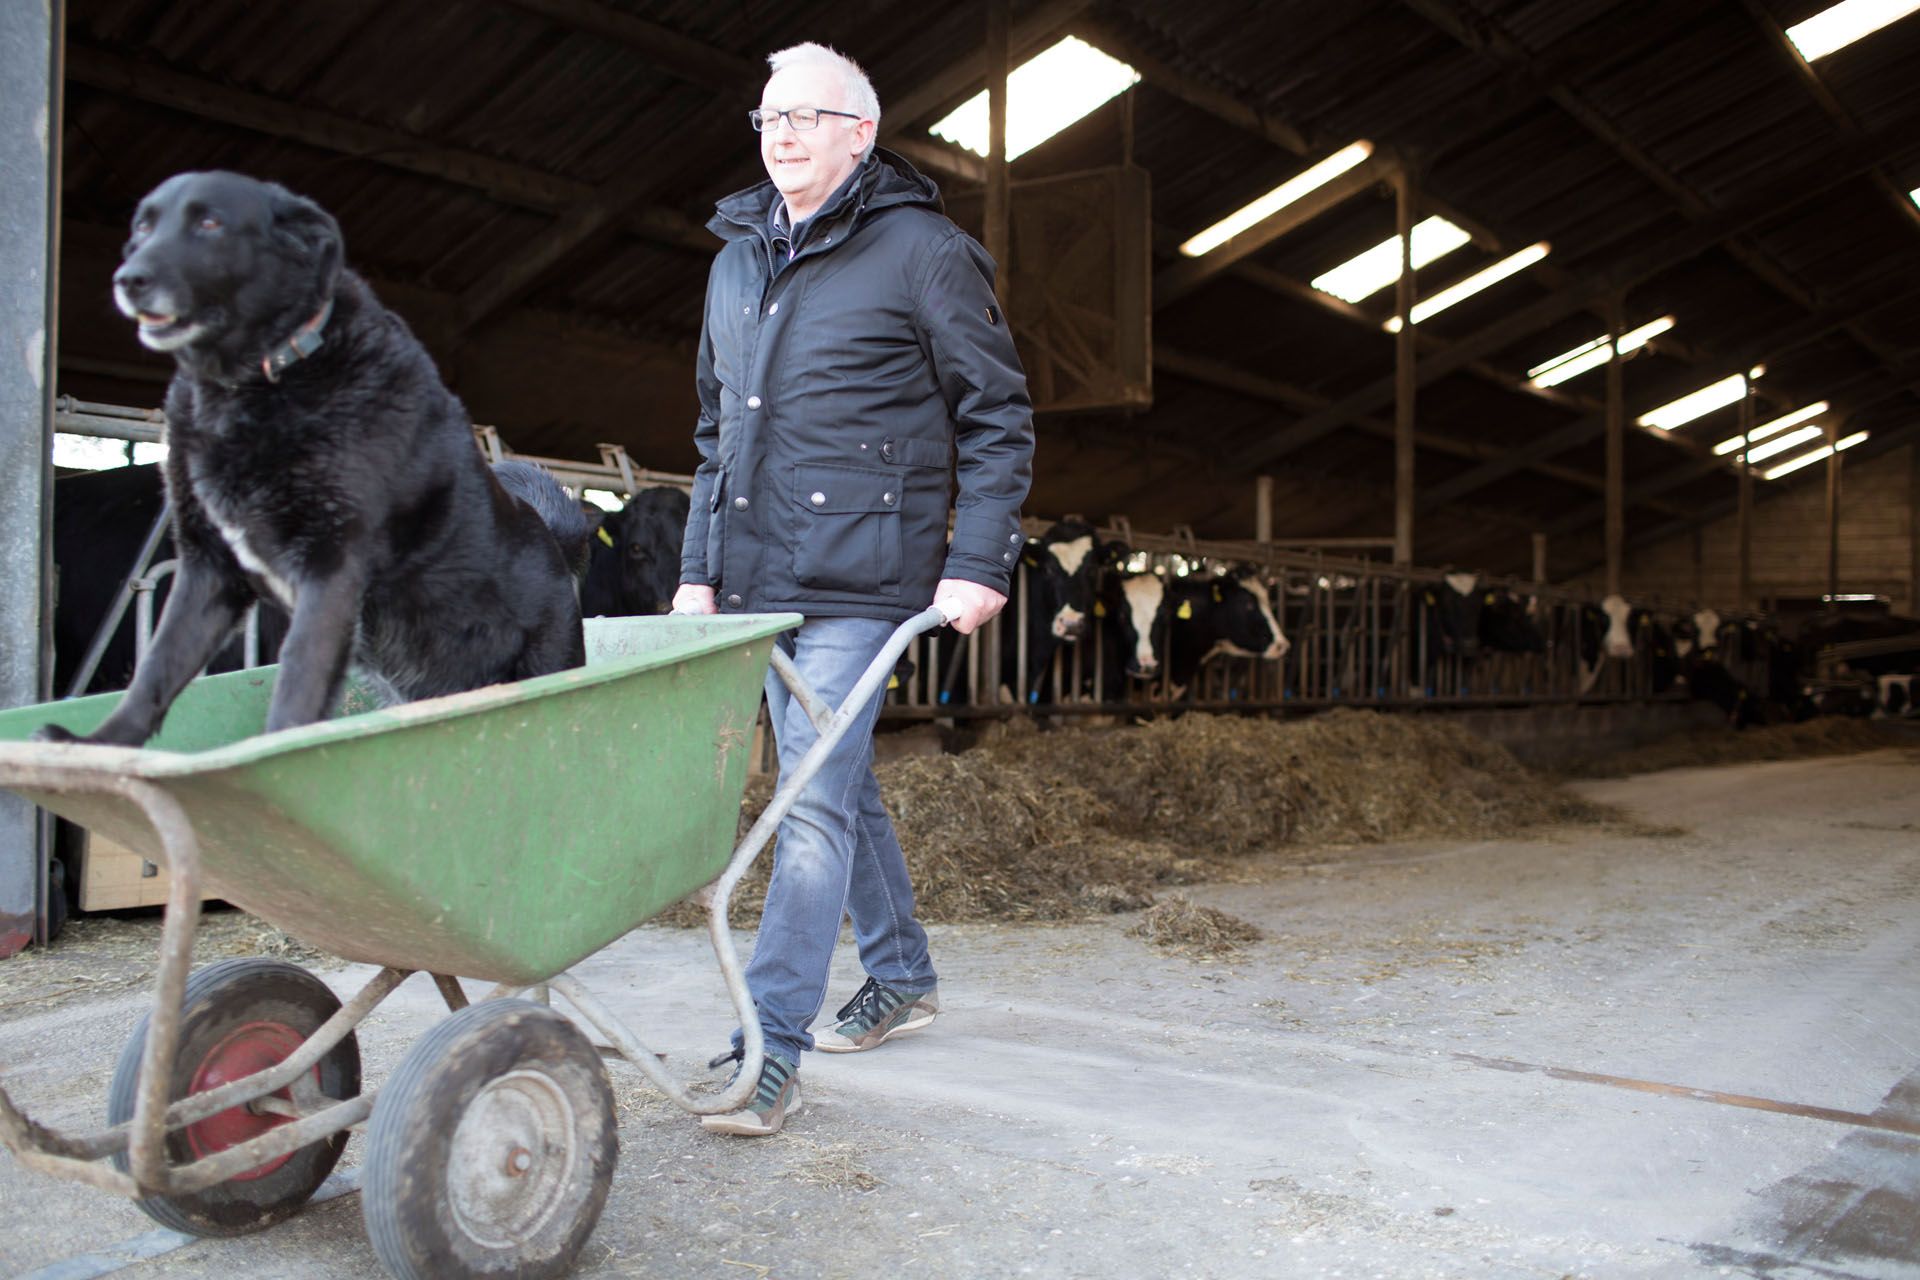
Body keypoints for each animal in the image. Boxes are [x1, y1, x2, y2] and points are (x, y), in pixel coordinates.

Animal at [41, 173, 579, 744]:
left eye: (210, 222)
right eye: (143, 227)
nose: (128, 279)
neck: (254, 383)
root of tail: (552, 536)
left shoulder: (331, 570)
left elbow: (298, 679)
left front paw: (276, 753)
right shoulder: (207, 569)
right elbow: (156, 669)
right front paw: (97, 745)